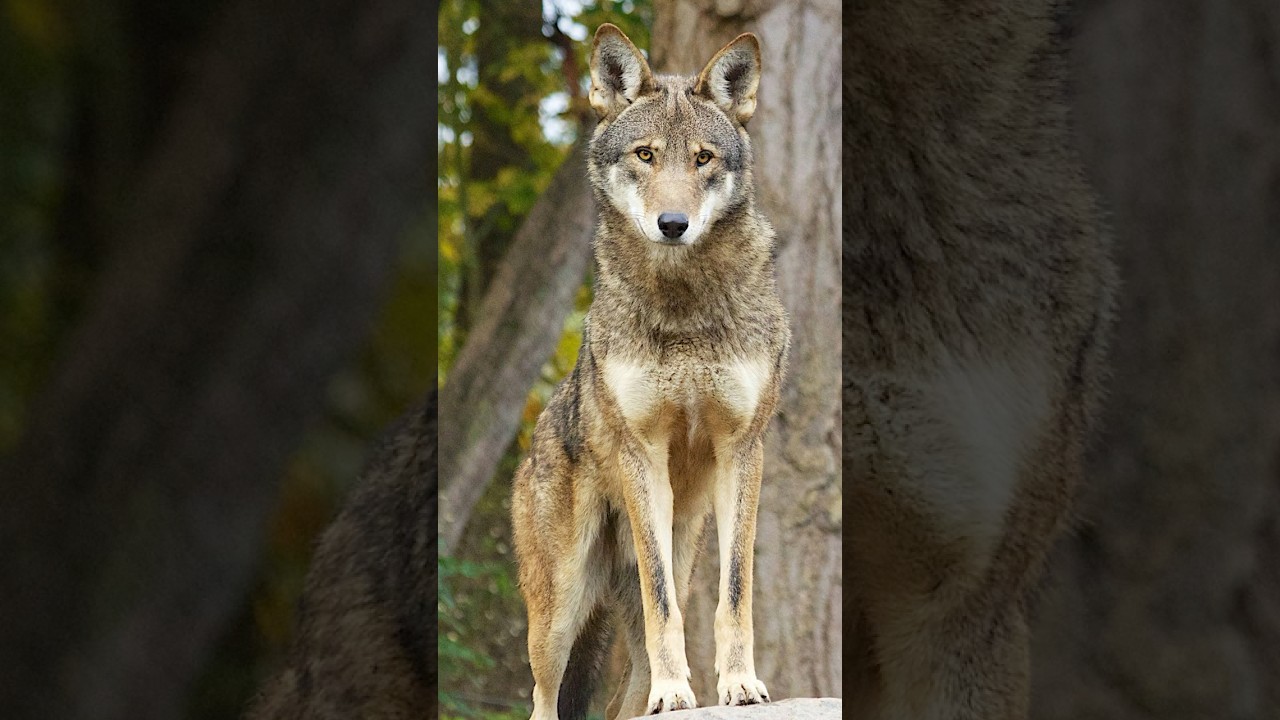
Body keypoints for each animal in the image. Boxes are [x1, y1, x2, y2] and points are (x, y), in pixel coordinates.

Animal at [510, 23, 789, 720]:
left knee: (626, 693)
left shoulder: (744, 450)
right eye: (645, 155)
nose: (673, 224)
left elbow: (735, 593)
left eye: (703, 159)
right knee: (543, 698)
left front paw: (740, 685)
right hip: (557, 615)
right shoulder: (643, 455)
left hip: (667, 566)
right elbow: (664, 601)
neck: (683, 305)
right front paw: (678, 690)